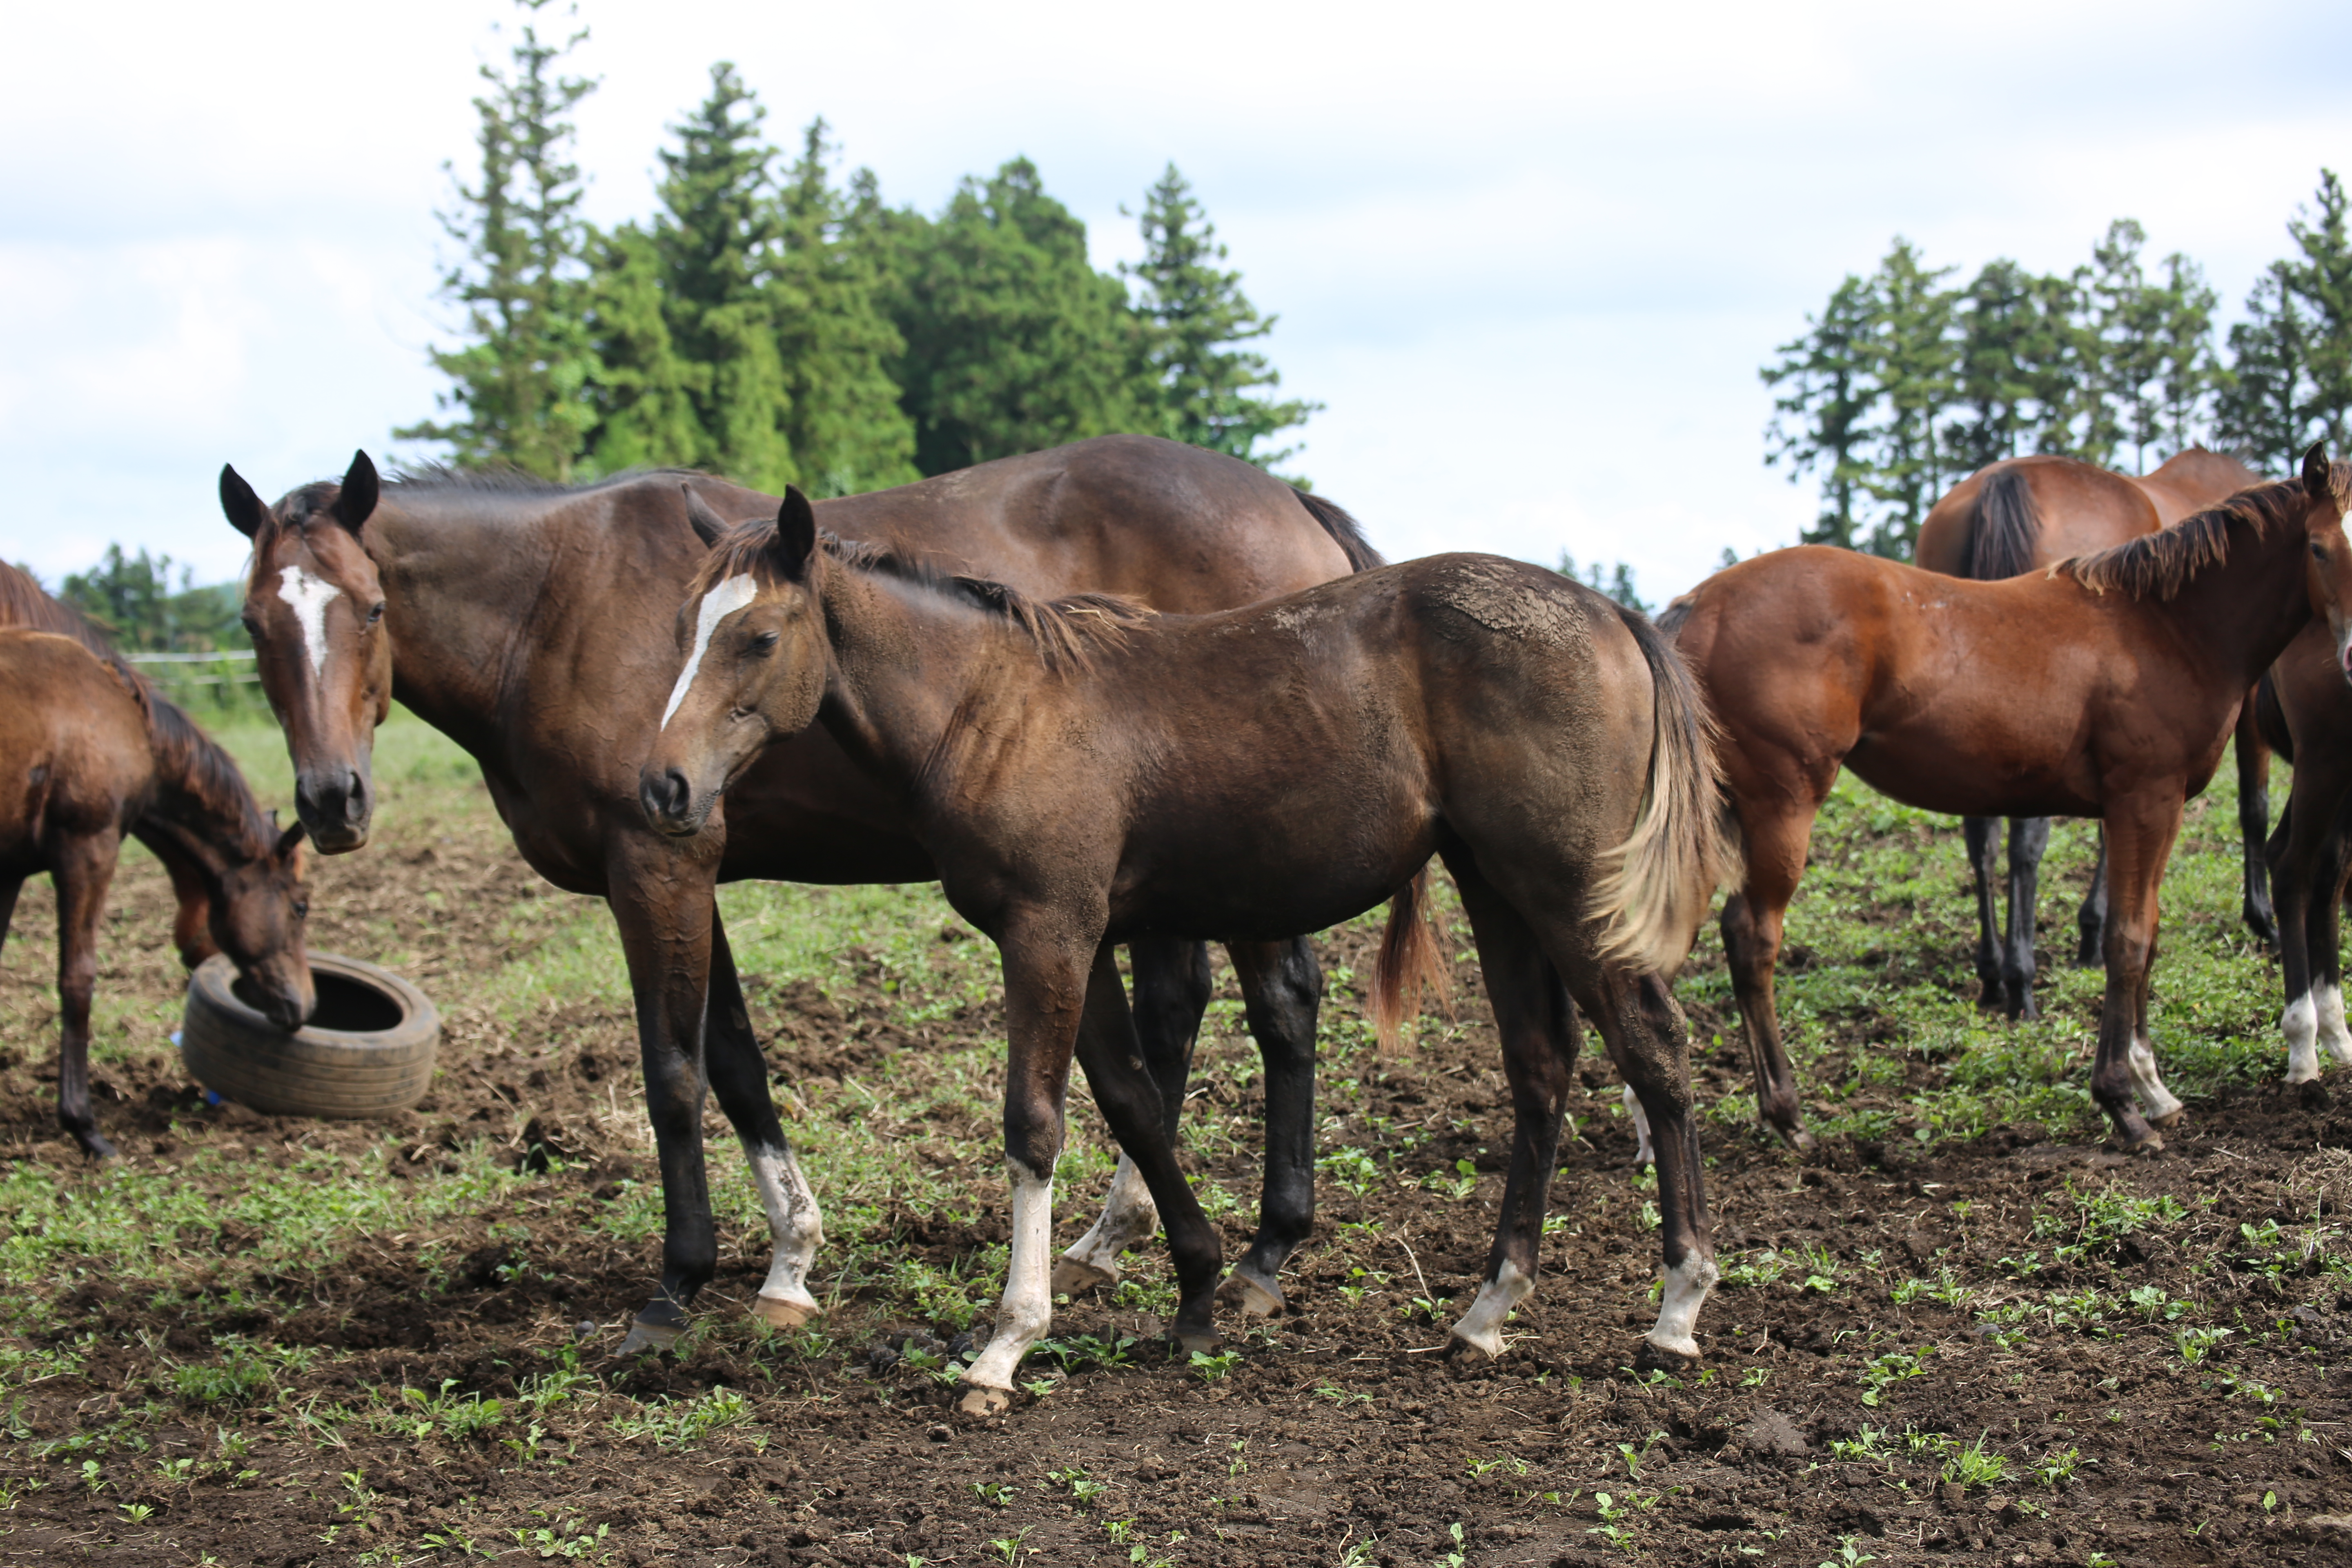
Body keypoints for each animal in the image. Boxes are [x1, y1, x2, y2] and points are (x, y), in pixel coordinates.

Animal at [0, 611, 313, 1166]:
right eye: (301, 907)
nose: (306, 1007)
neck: (123, 718)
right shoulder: (89, 849)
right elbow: (78, 980)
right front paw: (85, 1128)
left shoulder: (10, 867)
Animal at [216, 439, 1373, 1354]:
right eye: (252, 624)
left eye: (371, 608)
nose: (332, 800)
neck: (553, 604)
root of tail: (1291, 502)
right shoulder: (689, 857)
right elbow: (736, 1063)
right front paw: (788, 1264)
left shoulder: (657, 864)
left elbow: (673, 1074)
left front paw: (675, 1286)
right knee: (1178, 1014)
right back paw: (1120, 1237)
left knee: (1279, 1007)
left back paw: (1259, 1251)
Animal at [635, 496, 1740, 1420]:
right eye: (683, 627)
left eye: (758, 636)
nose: (662, 786)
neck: (996, 706)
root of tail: (1613, 613)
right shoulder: (1073, 943)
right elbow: (1131, 1100)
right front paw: (1199, 1289)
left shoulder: (1048, 931)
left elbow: (1033, 1126)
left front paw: (1007, 1343)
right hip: (1495, 884)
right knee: (1539, 1065)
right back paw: (1486, 1311)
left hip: (1566, 890)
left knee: (1653, 1051)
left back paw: (1678, 1308)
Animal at [1910, 451, 2276, 1020]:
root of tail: (2006, 478)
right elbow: (2253, 805)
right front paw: (2261, 916)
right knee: (2024, 842)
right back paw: (2020, 979)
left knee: (1981, 839)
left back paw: (1993, 975)